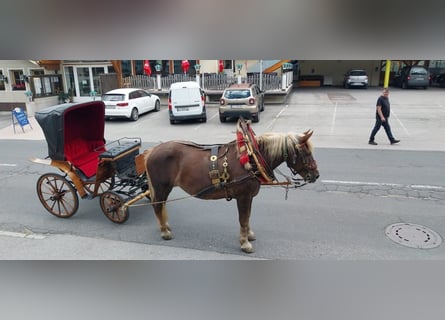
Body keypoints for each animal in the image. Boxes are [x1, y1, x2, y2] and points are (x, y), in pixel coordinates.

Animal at [144, 121, 318, 254]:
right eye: (306, 153)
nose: (316, 175)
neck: (252, 158)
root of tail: (152, 150)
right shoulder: (243, 196)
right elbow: (243, 218)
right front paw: (245, 243)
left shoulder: (248, 197)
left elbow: (247, 217)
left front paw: (248, 234)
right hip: (161, 187)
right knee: (157, 205)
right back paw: (164, 231)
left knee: (161, 205)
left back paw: (165, 224)